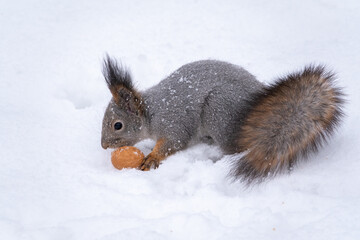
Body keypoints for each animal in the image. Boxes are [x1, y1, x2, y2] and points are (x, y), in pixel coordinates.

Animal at [100, 55, 344, 184]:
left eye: (117, 125)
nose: (103, 145)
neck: (152, 112)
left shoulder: (173, 122)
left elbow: (174, 142)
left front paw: (152, 157)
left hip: (219, 111)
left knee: (238, 148)